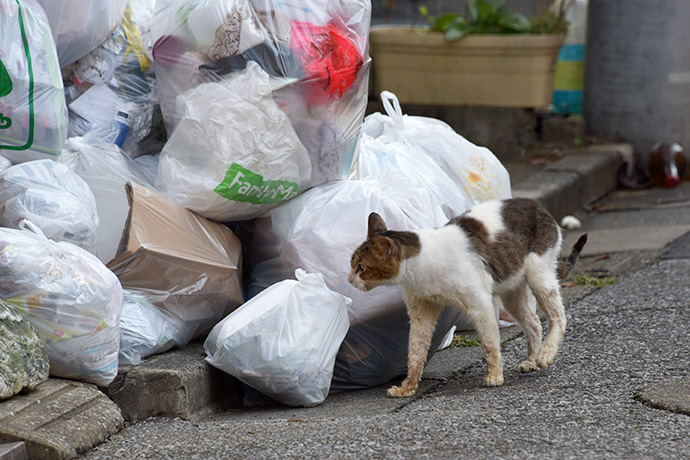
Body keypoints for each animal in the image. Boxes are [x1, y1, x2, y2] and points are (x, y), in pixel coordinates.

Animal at [346, 196, 584, 398]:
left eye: (362, 267)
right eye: (351, 263)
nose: (348, 279)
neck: (422, 268)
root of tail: (538, 205)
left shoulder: (480, 304)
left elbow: (489, 344)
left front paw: (494, 376)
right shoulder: (421, 312)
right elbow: (415, 352)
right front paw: (407, 387)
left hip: (539, 275)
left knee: (558, 316)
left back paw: (545, 355)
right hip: (512, 288)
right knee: (534, 322)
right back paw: (531, 361)